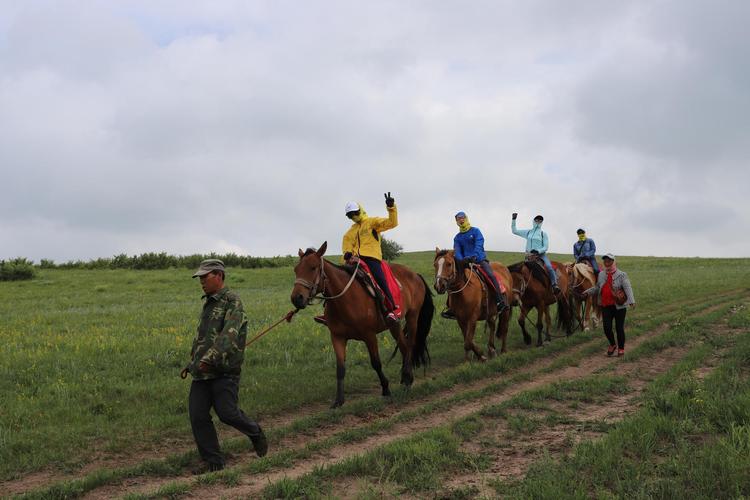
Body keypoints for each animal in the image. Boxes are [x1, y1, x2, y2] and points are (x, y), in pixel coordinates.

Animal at [292, 243, 438, 410]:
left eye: (313, 267)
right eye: (296, 270)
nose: (296, 298)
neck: (345, 300)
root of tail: (415, 274)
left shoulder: (369, 335)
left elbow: (376, 363)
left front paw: (386, 389)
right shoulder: (337, 337)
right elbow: (340, 368)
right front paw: (338, 400)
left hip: (412, 316)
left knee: (410, 343)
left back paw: (407, 379)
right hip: (394, 324)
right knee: (403, 345)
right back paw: (406, 378)